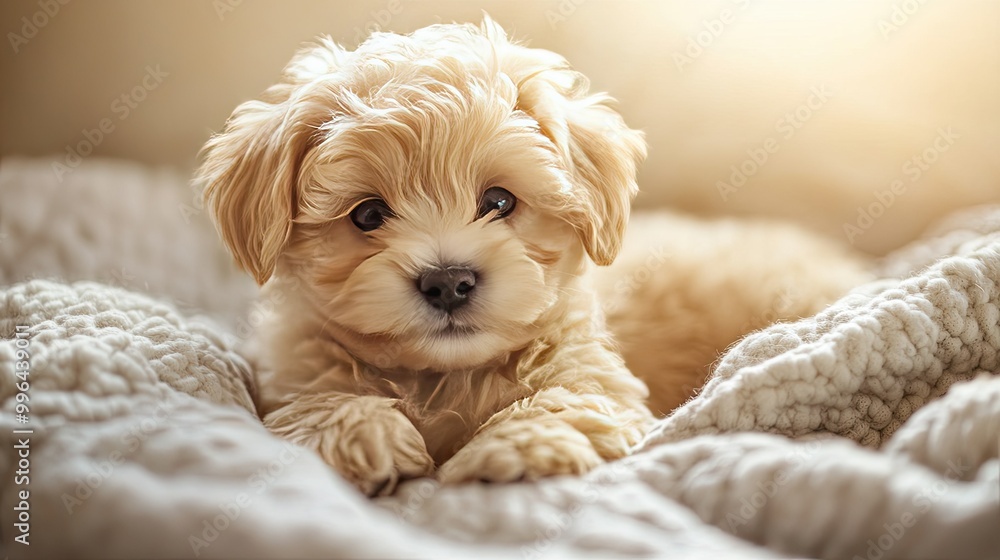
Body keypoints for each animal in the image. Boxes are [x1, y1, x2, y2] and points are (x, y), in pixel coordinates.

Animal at [197, 19, 876, 496]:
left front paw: (514, 450)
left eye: (499, 201)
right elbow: (318, 401)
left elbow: (566, 402)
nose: (448, 281)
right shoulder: (292, 371)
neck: (441, 376)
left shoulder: (593, 375)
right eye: (366, 215)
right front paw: (359, 433)